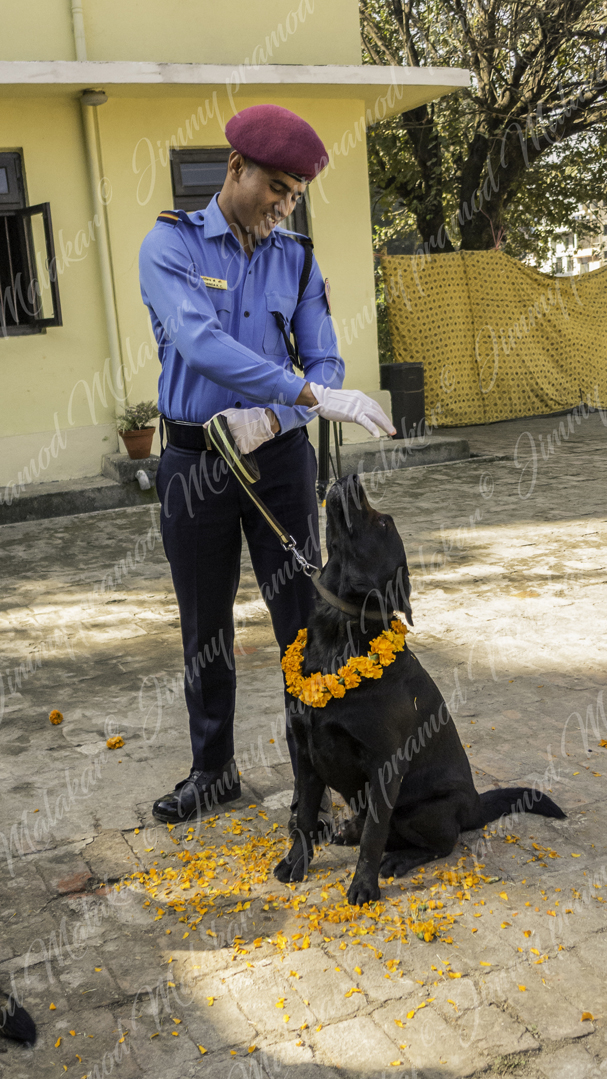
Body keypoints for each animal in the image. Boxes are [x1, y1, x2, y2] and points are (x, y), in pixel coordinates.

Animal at [274, 474, 565, 906]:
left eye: (384, 523)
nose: (351, 476)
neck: (339, 633)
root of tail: (475, 805)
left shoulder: (385, 765)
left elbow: (375, 836)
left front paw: (364, 886)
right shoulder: (307, 754)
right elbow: (306, 819)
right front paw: (296, 862)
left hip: (422, 811)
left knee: (439, 844)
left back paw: (398, 859)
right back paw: (348, 830)